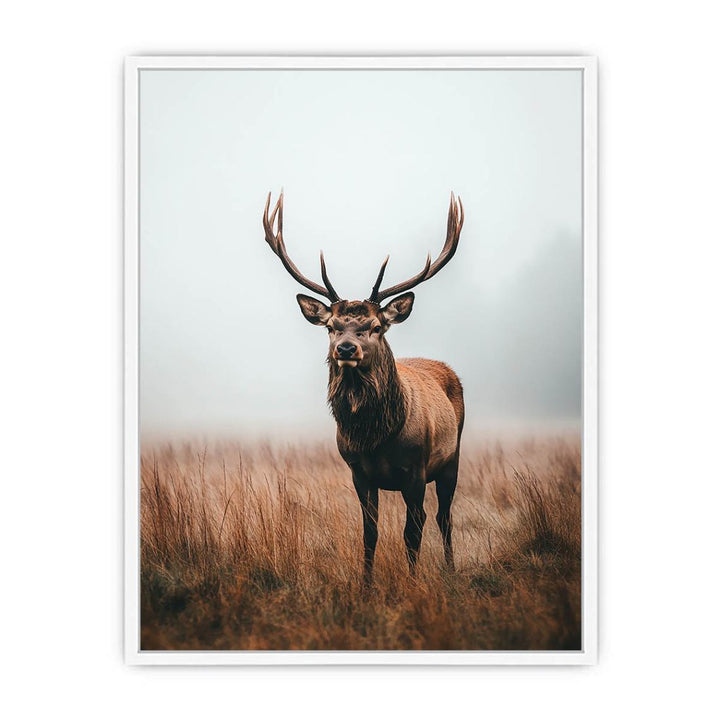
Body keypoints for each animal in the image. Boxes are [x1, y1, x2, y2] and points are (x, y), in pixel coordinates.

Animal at [262, 191, 465, 585]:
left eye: (375, 327)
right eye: (331, 326)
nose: (345, 349)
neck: (375, 437)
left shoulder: (415, 470)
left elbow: (412, 530)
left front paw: (412, 583)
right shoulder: (358, 471)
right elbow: (369, 531)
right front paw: (366, 584)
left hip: (452, 458)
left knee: (444, 517)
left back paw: (451, 568)